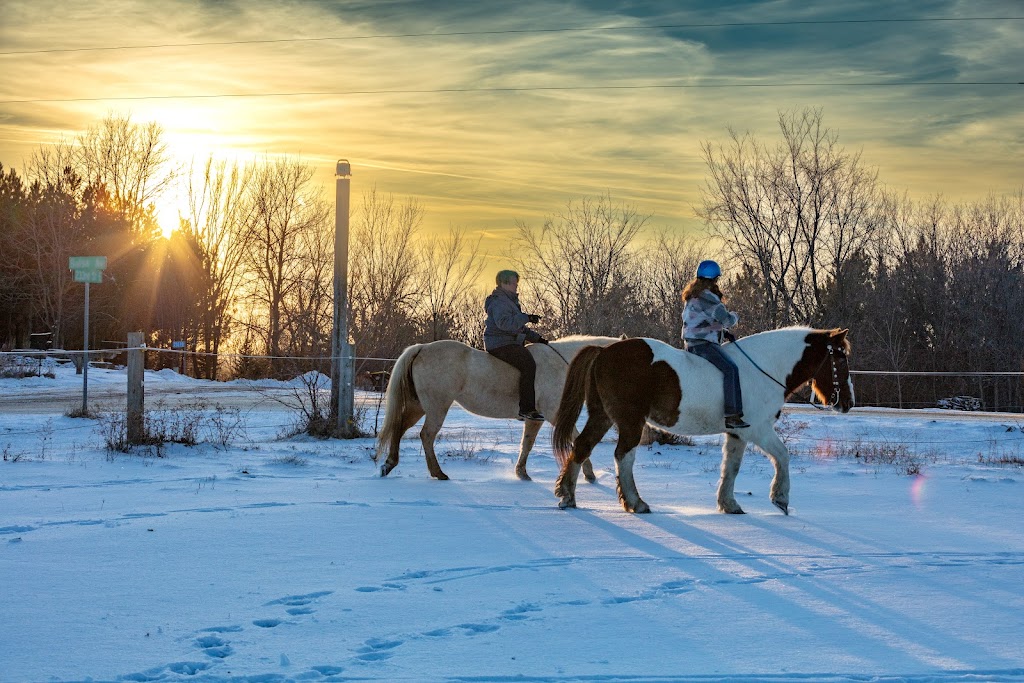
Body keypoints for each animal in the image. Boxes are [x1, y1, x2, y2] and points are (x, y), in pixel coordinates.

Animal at [374, 335, 618, 481]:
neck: (561, 364)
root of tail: (422, 348)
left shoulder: (535, 417)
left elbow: (527, 444)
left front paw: (522, 473)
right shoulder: (554, 414)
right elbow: (577, 438)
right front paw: (589, 474)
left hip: (420, 406)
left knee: (399, 427)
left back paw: (389, 465)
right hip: (436, 407)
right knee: (426, 435)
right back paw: (438, 472)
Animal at [552, 327, 856, 516]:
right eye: (840, 358)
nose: (848, 402)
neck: (763, 368)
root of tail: (604, 352)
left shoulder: (738, 433)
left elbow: (731, 467)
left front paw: (729, 504)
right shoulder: (759, 429)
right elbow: (782, 455)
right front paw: (780, 499)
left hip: (602, 416)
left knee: (582, 447)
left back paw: (567, 495)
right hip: (630, 421)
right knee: (622, 456)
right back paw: (636, 503)